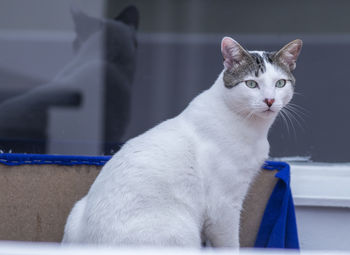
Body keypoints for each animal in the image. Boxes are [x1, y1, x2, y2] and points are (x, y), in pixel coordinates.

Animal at [62, 36, 300, 247]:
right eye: (251, 84)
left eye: (280, 83)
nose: (269, 100)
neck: (253, 129)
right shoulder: (223, 207)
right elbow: (231, 245)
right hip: (182, 230)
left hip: (76, 211)